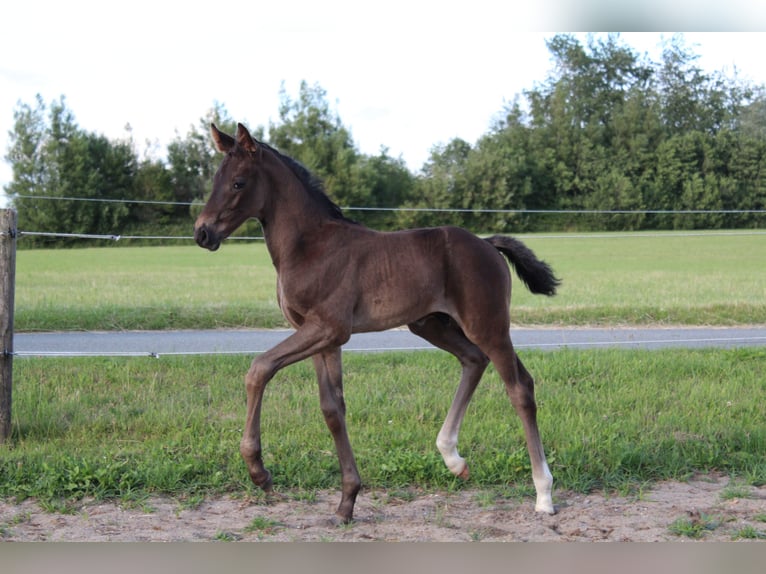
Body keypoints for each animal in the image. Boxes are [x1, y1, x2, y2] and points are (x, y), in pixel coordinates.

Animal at [194, 123, 561, 524]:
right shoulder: (322, 337)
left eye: (238, 183)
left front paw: (259, 471)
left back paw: (543, 494)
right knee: (475, 361)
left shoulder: (328, 328)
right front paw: (347, 501)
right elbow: (332, 408)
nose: (202, 233)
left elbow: (259, 369)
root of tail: (488, 243)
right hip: (432, 324)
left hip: (488, 325)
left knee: (519, 388)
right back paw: (453, 458)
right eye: (215, 180)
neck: (310, 245)